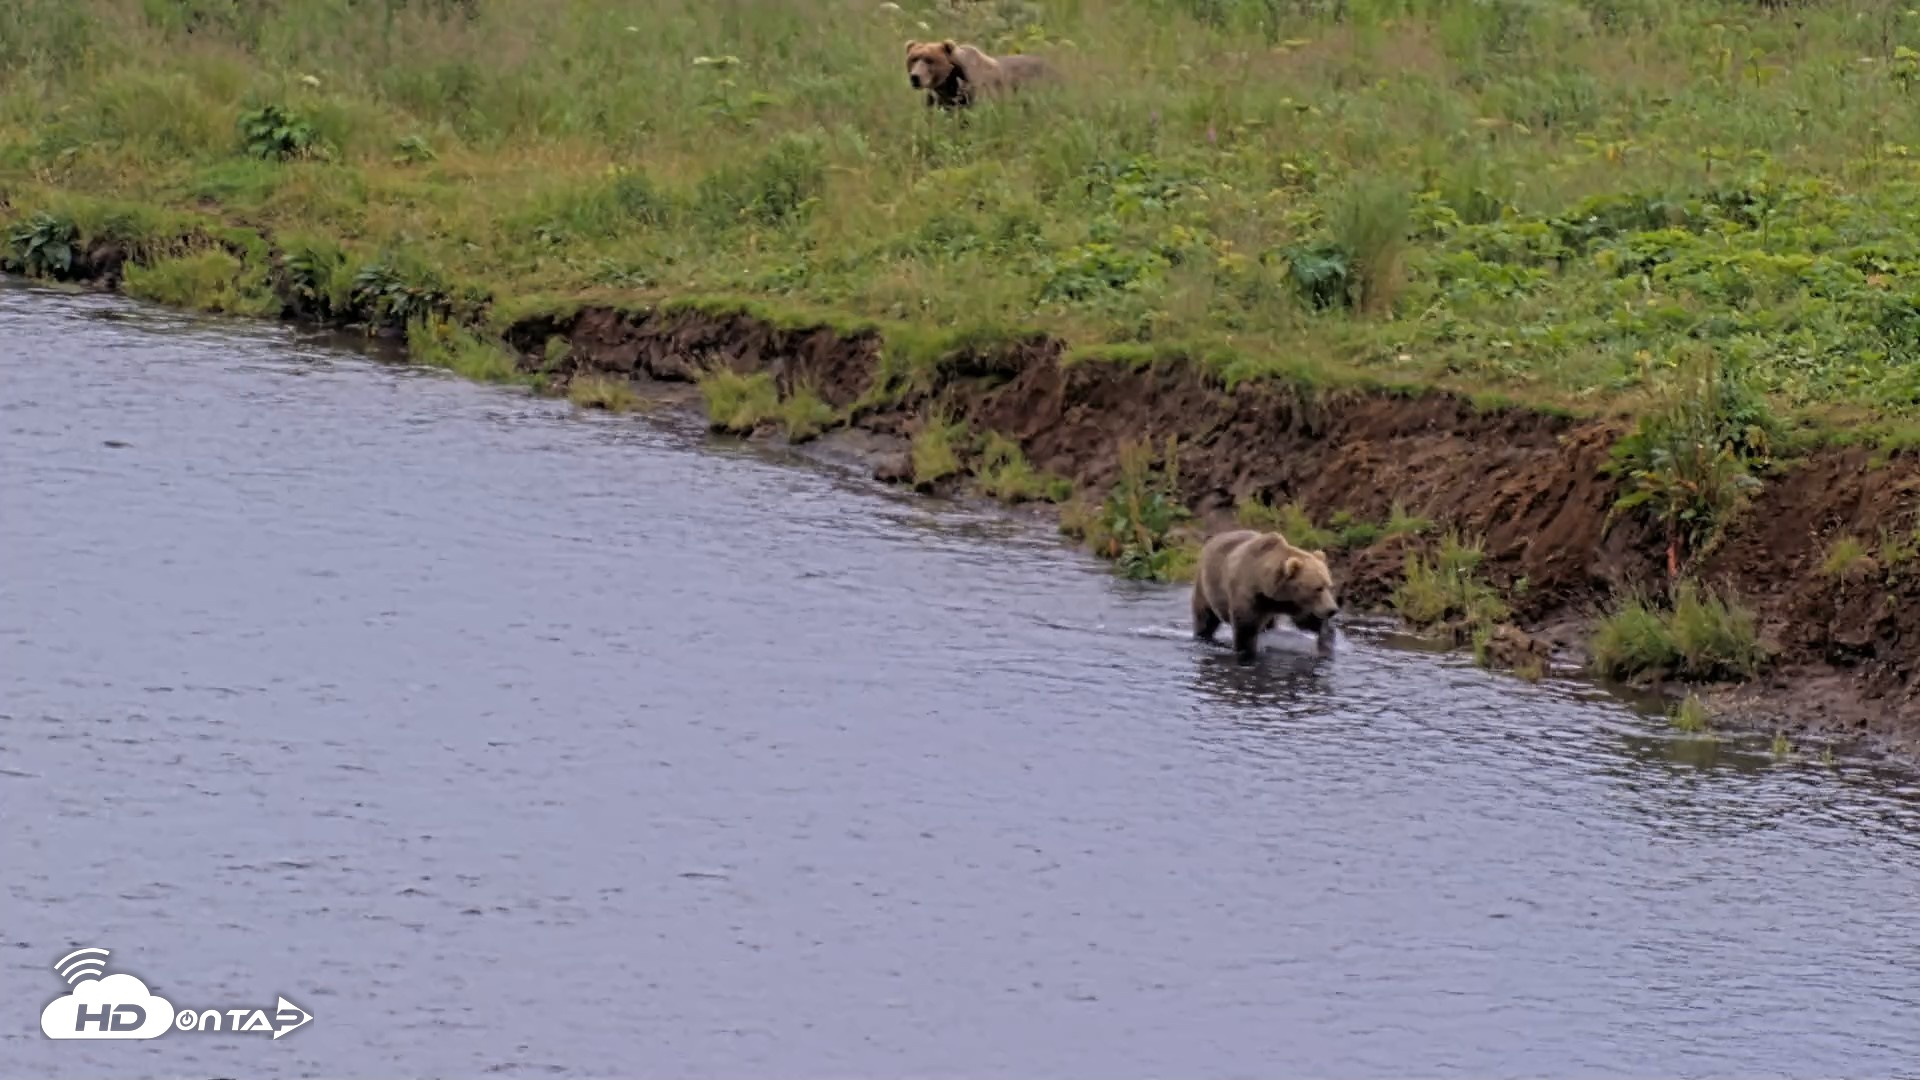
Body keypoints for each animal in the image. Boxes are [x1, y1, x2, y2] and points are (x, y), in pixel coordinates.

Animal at [1191, 529, 1341, 662]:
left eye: (1329, 586)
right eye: (1318, 588)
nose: (1332, 610)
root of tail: (1212, 538)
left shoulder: (1294, 603)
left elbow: (1306, 621)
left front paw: (1325, 637)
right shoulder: (1248, 596)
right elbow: (1245, 630)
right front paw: (1246, 652)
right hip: (1206, 586)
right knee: (1205, 617)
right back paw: (1203, 636)